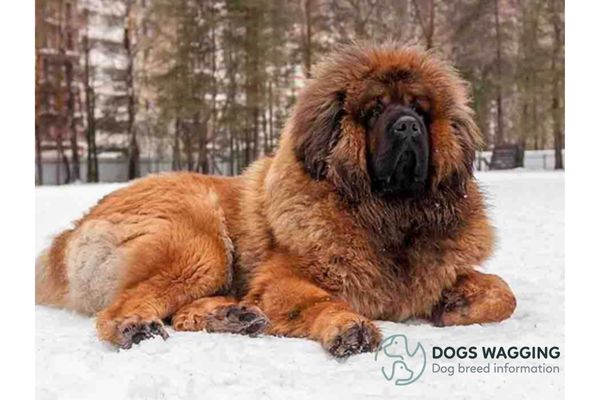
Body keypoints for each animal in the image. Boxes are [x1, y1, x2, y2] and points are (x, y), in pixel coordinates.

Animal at [36, 44, 516, 356]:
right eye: (376, 110)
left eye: (419, 110)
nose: (407, 126)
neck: (387, 217)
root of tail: (67, 237)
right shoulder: (282, 280)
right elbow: (322, 300)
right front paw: (349, 327)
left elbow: (504, 293)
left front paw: (456, 305)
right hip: (199, 244)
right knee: (125, 305)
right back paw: (135, 326)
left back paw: (231, 316)